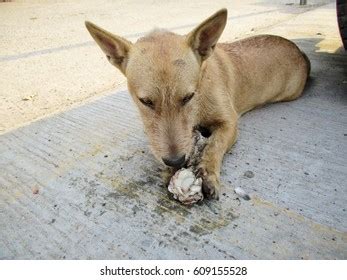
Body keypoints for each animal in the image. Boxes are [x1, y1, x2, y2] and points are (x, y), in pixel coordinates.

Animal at [85, 8, 312, 200]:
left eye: (188, 97)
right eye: (145, 101)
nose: (176, 161)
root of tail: (300, 51)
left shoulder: (229, 123)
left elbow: (214, 145)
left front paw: (208, 171)